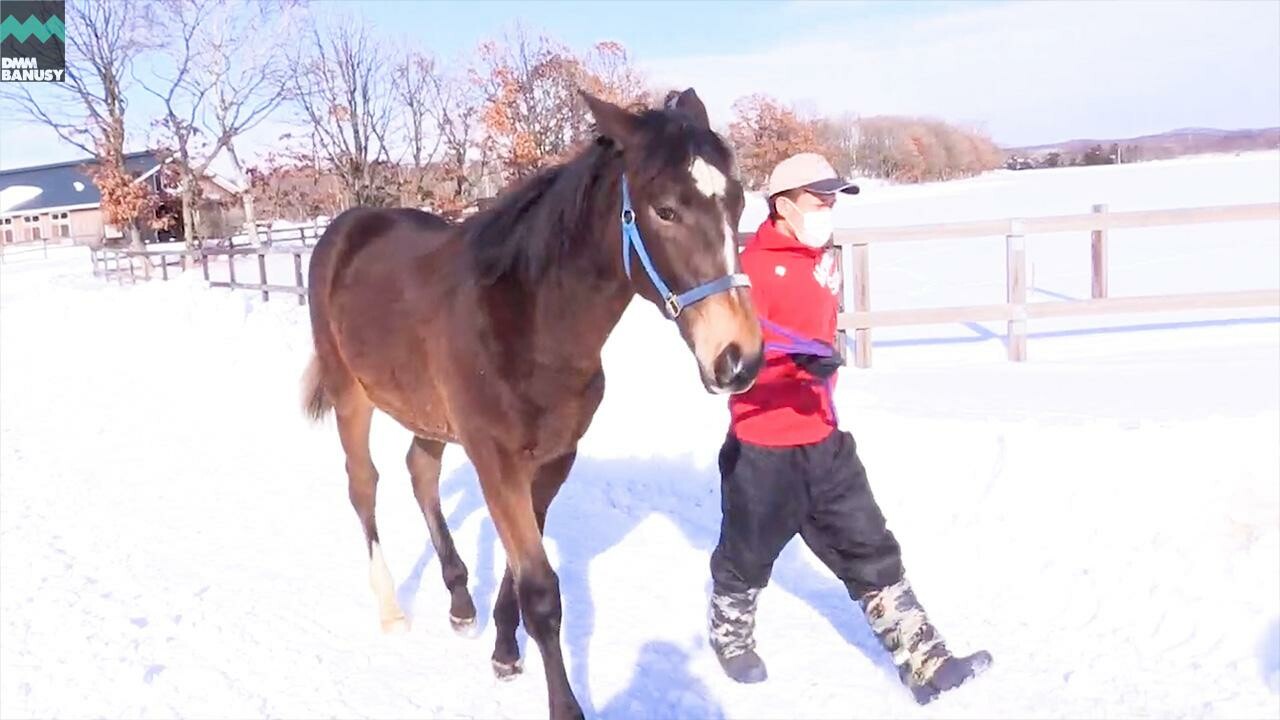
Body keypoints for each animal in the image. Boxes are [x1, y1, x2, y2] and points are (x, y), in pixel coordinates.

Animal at [299, 87, 757, 712]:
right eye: (665, 210)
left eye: (738, 202)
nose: (740, 358)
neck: (533, 320)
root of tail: (345, 226)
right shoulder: (496, 459)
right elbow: (540, 589)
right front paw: (564, 705)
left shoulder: (552, 459)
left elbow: (520, 570)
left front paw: (503, 651)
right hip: (352, 394)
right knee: (364, 484)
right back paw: (392, 609)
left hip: (429, 414)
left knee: (420, 470)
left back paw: (459, 601)